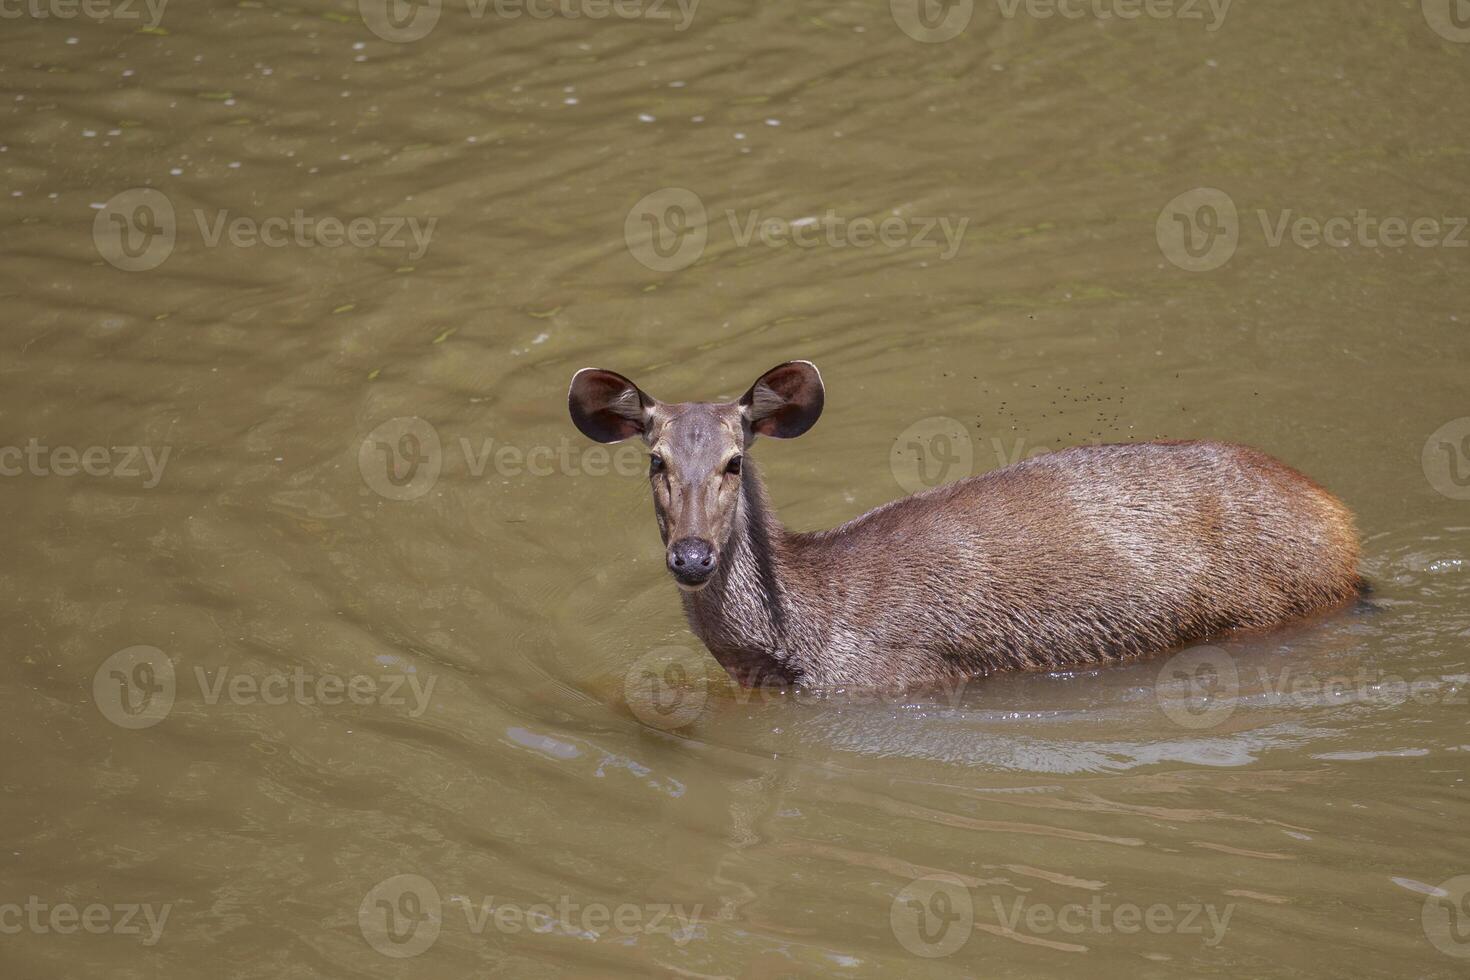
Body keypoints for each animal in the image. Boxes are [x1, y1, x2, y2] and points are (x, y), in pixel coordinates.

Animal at [564, 362, 1364, 690]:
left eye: (734, 460)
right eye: (656, 459)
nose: (692, 556)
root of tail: (1344, 528)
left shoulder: (896, 675)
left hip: (1265, 608)